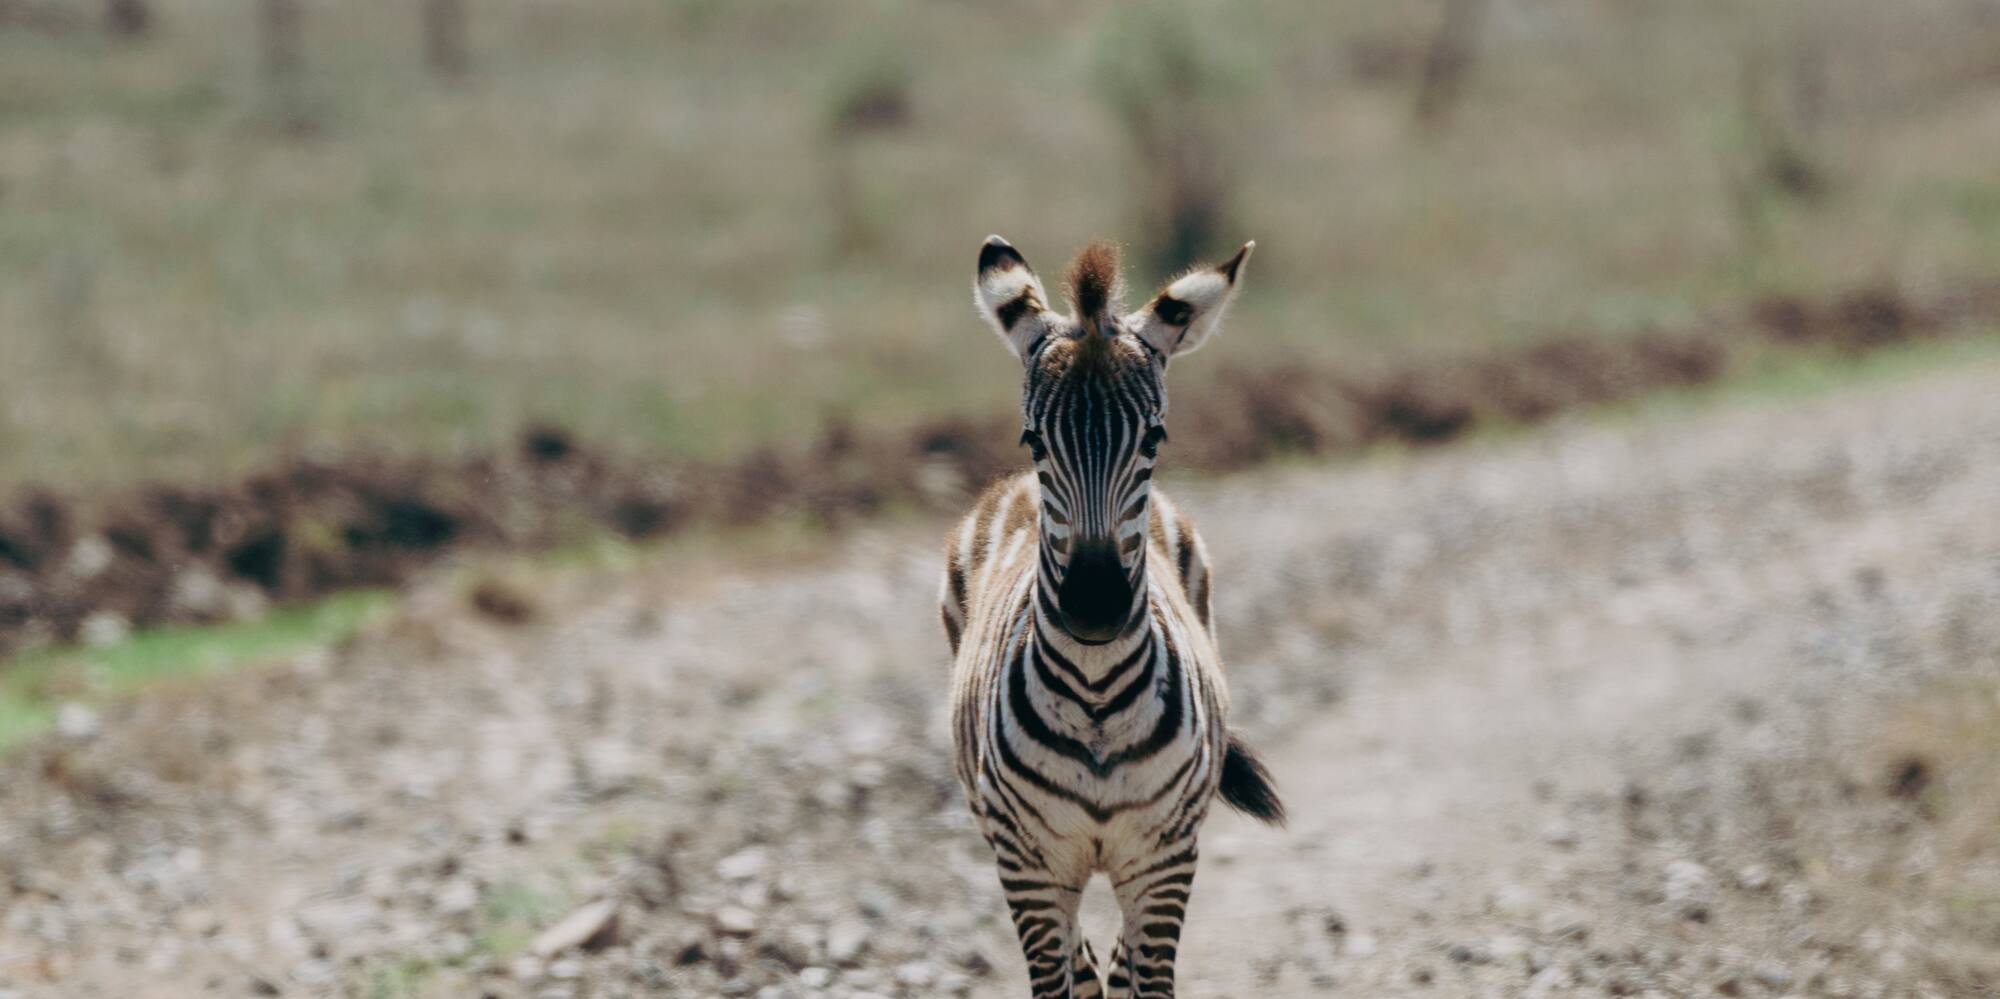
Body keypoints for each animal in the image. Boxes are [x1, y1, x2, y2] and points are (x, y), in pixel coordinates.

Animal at [942, 235, 1284, 998]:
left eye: (1154, 438)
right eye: (1034, 439)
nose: (1094, 608)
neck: (1096, 691)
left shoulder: (1163, 862)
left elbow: (1148, 981)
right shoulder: (1029, 867)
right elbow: (1060, 984)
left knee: (1119, 964)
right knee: (1086, 965)